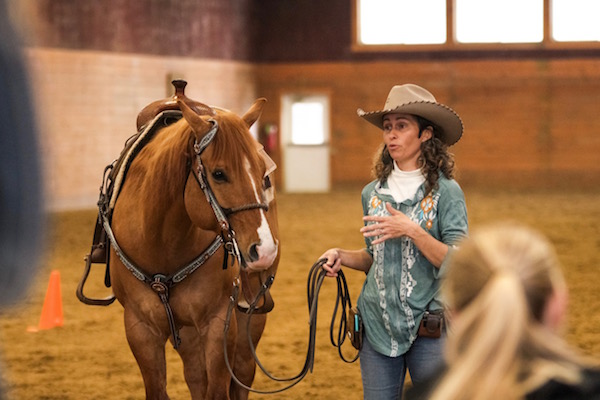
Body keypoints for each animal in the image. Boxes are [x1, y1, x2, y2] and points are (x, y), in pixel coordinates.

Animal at [107, 93, 278, 396]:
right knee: (195, 376)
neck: (162, 244)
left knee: (242, 373)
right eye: (219, 173)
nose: (265, 250)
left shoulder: (218, 323)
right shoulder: (140, 328)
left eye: (263, 174)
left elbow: (218, 390)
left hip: (251, 315)